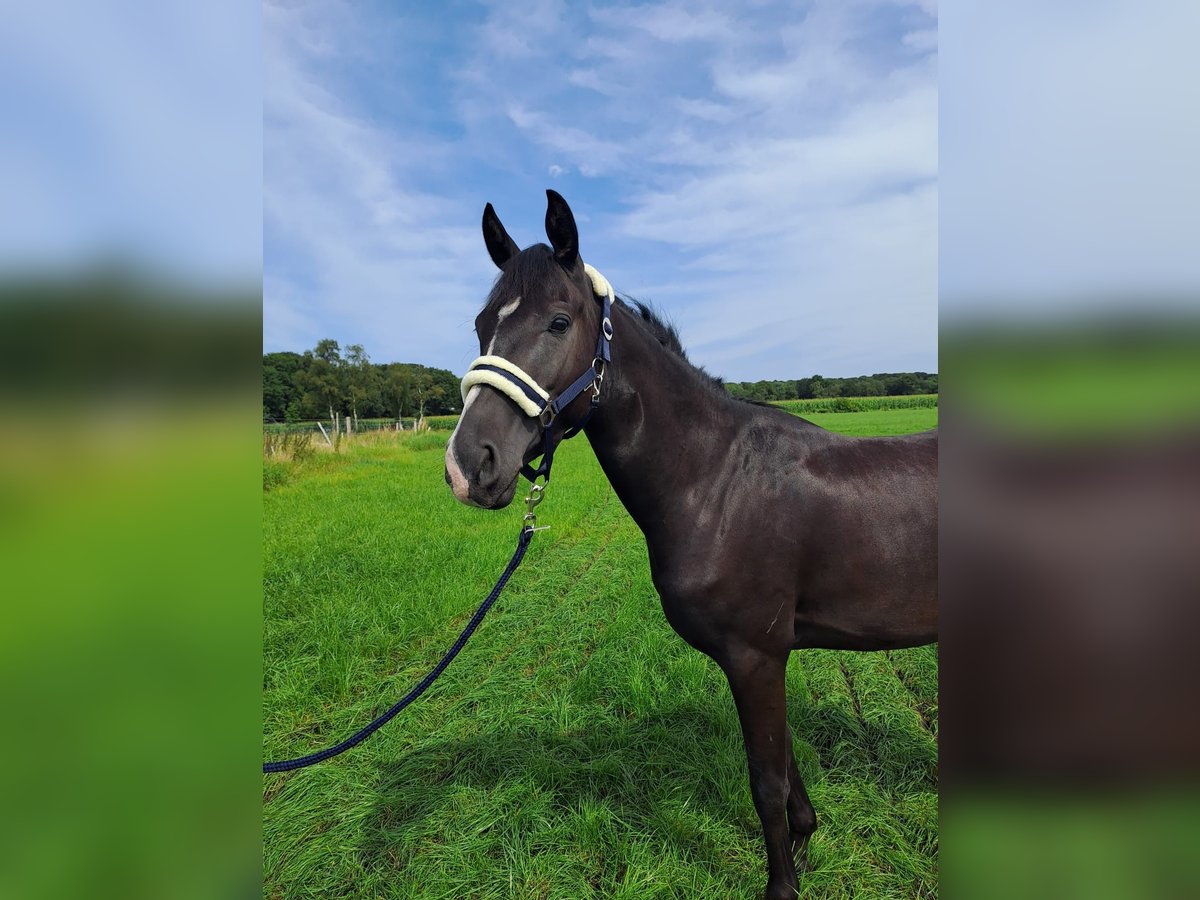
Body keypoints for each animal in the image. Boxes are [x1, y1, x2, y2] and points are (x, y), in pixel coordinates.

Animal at [446, 192, 940, 900]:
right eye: (482, 323)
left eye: (559, 322)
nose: (469, 465)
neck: (715, 480)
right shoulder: (767, 658)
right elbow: (784, 765)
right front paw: (806, 839)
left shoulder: (755, 656)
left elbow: (766, 782)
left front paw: (782, 885)